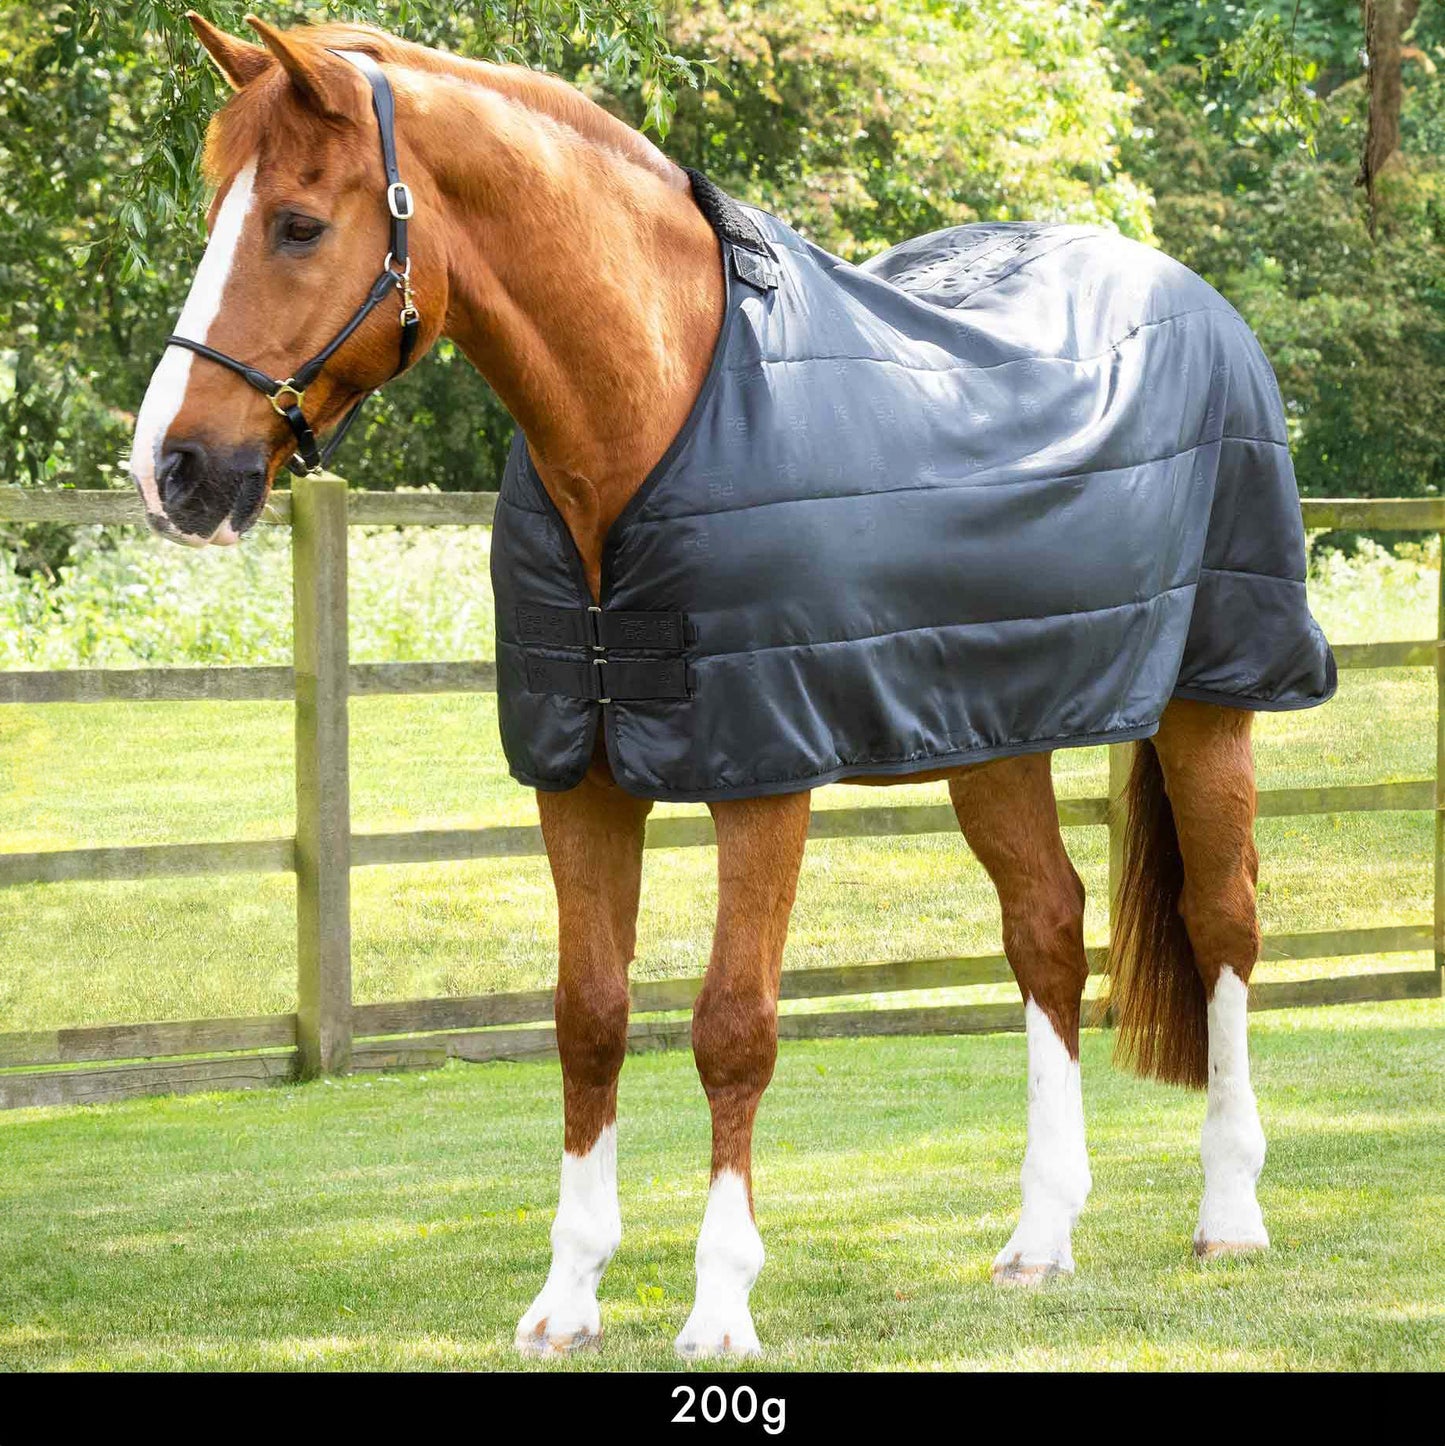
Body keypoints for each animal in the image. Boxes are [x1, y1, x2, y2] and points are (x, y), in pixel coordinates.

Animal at [127, 15, 1334, 1359]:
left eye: (296, 224)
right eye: (217, 210)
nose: (170, 468)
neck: (654, 413)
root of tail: (1194, 300)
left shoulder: (763, 773)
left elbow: (731, 1028)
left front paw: (718, 1306)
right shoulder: (579, 777)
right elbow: (588, 1017)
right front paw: (566, 1297)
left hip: (1209, 699)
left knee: (1222, 922)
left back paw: (1228, 1214)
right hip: (991, 729)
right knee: (1046, 931)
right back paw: (1038, 1238)